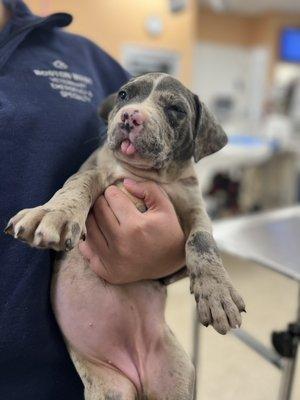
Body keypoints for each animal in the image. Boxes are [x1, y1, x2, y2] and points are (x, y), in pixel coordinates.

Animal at [5, 72, 244, 400]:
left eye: (176, 110)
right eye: (123, 95)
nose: (131, 116)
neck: (146, 174)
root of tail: (137, 376)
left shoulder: (196, 212)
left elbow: (202, 241)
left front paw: (218, 292)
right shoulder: (96, 171)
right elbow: (79, 182)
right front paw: (55, 211)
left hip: (177, 375)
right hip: (110, 388)